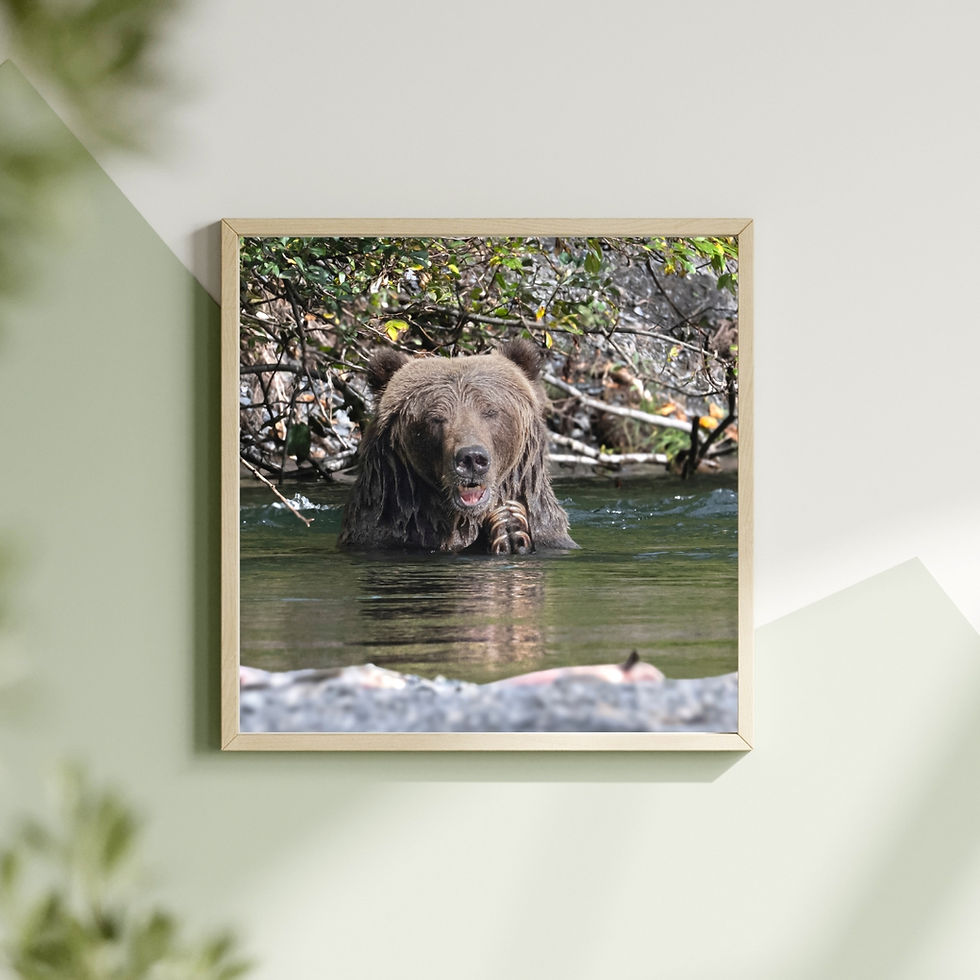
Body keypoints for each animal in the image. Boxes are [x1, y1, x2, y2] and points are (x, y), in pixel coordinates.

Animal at [338, 339, 577, 554]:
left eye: (490, 411)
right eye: (435, 417)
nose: (471, 458)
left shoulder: (550, 533)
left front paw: (514, 524)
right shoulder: (383, 532)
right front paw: (503, 526)